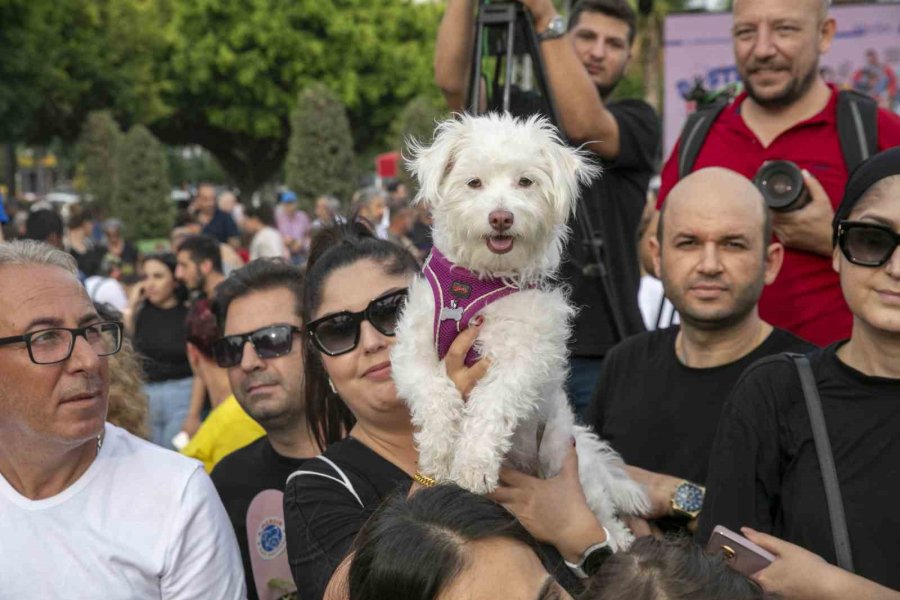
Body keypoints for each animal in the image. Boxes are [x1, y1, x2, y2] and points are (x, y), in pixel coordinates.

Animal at [392, 112, 648, 548]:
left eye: (525, 182)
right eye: (474, 183)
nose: (501, 217)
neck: (476, 283)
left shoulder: (523, 357)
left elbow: (490, 405)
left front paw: (473, 463)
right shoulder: (413, 352)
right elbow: (436, 396)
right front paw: (439, 455)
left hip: (566, 462)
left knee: (602, 513)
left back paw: (616, 540)